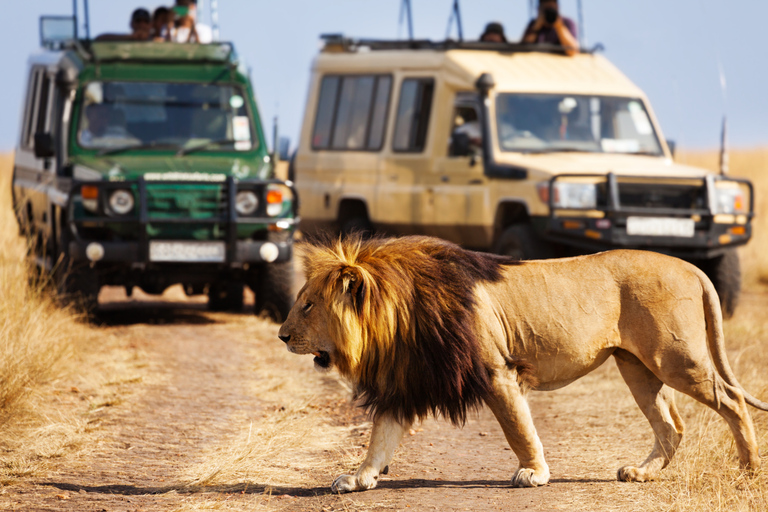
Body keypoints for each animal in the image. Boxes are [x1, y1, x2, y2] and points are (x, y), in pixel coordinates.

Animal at [278, 236, 768, 492]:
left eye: (307, 305)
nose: (281, 335)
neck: (398, 317)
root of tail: (689, 266)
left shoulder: (497, 372)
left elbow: (518, 428)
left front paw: (534, 472)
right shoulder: (407, 382)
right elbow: (380, 437)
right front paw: (358, 478)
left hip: (676, 358)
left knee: (731, 401)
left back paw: (748, 470)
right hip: (636, 366)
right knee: (671, 425)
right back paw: (640, 472)